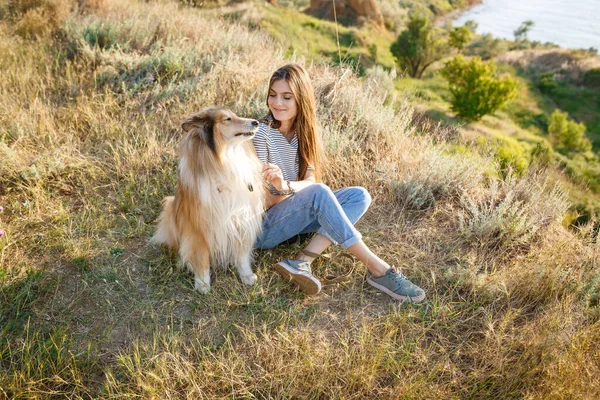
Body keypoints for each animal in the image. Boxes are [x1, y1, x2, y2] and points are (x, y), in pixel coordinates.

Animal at [151, 108, 264, 292]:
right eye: (228, 119)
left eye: (235, 115)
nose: (256, 122)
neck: (224, 160)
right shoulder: (198, 227)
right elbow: (201, 256)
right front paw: (203, 284)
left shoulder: (241, 218)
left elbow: (241, 254)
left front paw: (246, 275)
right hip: (170, 208)